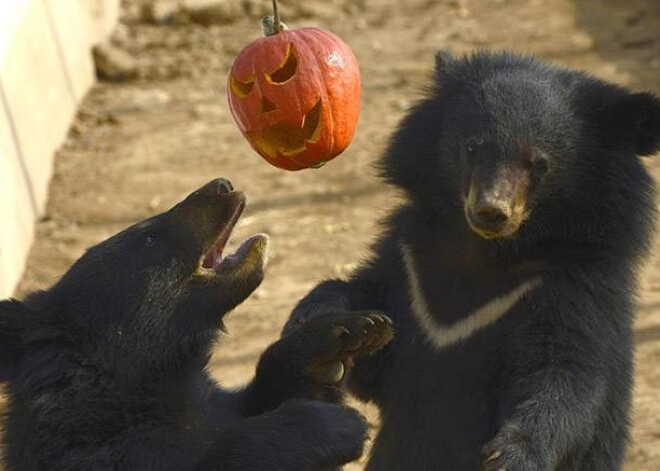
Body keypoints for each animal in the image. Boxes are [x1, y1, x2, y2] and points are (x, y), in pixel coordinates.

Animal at [0, 179, 392, 470]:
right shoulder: (107, 451)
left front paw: (341, 337)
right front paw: (330, 425)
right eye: (149, 237)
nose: (222, 185)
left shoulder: (209, 404)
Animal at [286, 49, 660, 470]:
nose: (491, 211)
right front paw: (335, 329)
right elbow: (372, 346)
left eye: (540, 164)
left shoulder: (573, 286)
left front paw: (510, 454)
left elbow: (564, 373)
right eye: (473, 147)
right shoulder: (408, 260)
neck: (487, 249)